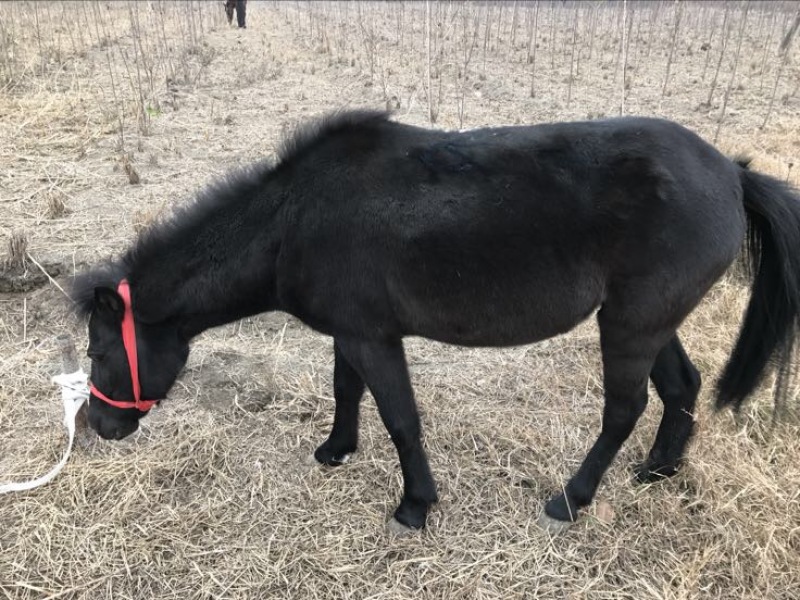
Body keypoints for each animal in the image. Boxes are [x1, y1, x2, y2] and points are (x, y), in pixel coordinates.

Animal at [70, 110, 800, 534]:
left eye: (100, 354)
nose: (99, 426)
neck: (293, 220)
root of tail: (733, 175)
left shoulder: (374, 338)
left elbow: (401, 417)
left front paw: (415, 505)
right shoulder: (353, 333)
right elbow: (347, 392)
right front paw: (336, 450)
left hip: (628, 327)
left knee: (624, 410)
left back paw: (571, 499)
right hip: (648, 321)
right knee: (681, 387)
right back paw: (658, 471)